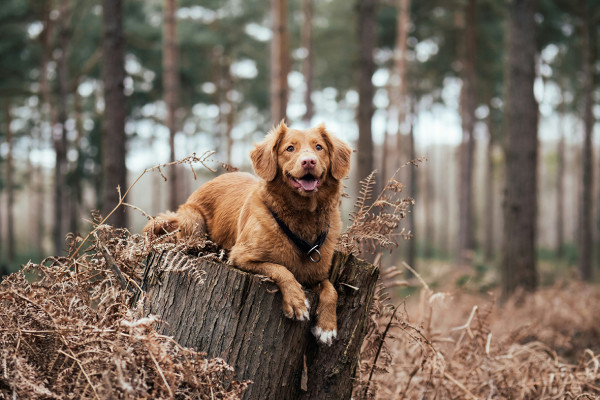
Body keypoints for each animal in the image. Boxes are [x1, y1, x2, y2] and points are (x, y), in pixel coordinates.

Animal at [144, 120, 352, 346]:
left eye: (319, 147)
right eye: (290, 148)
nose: (309, 162)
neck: (302, 217)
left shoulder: (316, 274)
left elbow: (331, 290)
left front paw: (327, 327)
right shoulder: (242, 257)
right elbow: (281, 269)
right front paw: (296, 300)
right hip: (193, 221)